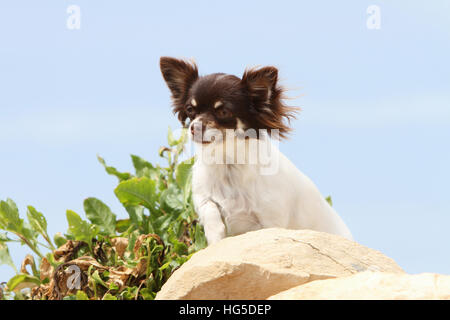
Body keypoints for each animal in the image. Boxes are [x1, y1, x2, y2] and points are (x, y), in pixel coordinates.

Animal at [160, 56, 354, 244]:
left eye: (223, 112)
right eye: (190, 109)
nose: (194, 127)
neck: (227, 162)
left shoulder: (270, 219)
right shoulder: (202, 195)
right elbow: (209, 208)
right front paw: (215, 232)